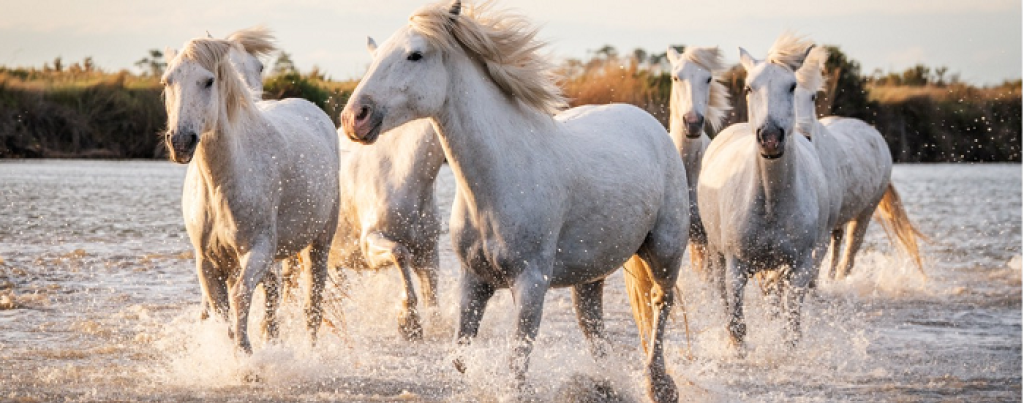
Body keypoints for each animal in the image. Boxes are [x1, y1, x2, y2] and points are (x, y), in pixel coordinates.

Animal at [162, 35, 340, 354]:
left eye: (208, 81)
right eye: (167, 81)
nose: (181, 141)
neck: (223, 182)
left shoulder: (257, 250)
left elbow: (240, 297)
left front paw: (245, 354)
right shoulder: (208, 262)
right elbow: (222, 310)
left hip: (319, 242)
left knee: (312, 307)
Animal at [340, 2, 689, 401]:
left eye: (415, 55)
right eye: (378, 53)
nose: (354, 118)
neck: (501, 179)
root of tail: (650, 124)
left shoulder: (531, 284)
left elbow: (516, 367)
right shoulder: (474, 280)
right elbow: (461, 357)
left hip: (664, 252)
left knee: (659, 305)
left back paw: (659, 385)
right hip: (591, 274)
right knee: (593, 326)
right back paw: (604, 384)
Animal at [697, 34, 835, 349]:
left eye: (792, 86)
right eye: (749, 87)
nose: (770, 138)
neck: (771, 203)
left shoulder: (799, 268)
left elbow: (792, 329)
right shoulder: (736, 268)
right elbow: (737, 327)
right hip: (717, 254)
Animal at [793, 45, 925, 280]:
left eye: (813, 97)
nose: (803, 135)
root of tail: (873, 132)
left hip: (864, 214)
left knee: (847, 258)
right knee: (837, 245)